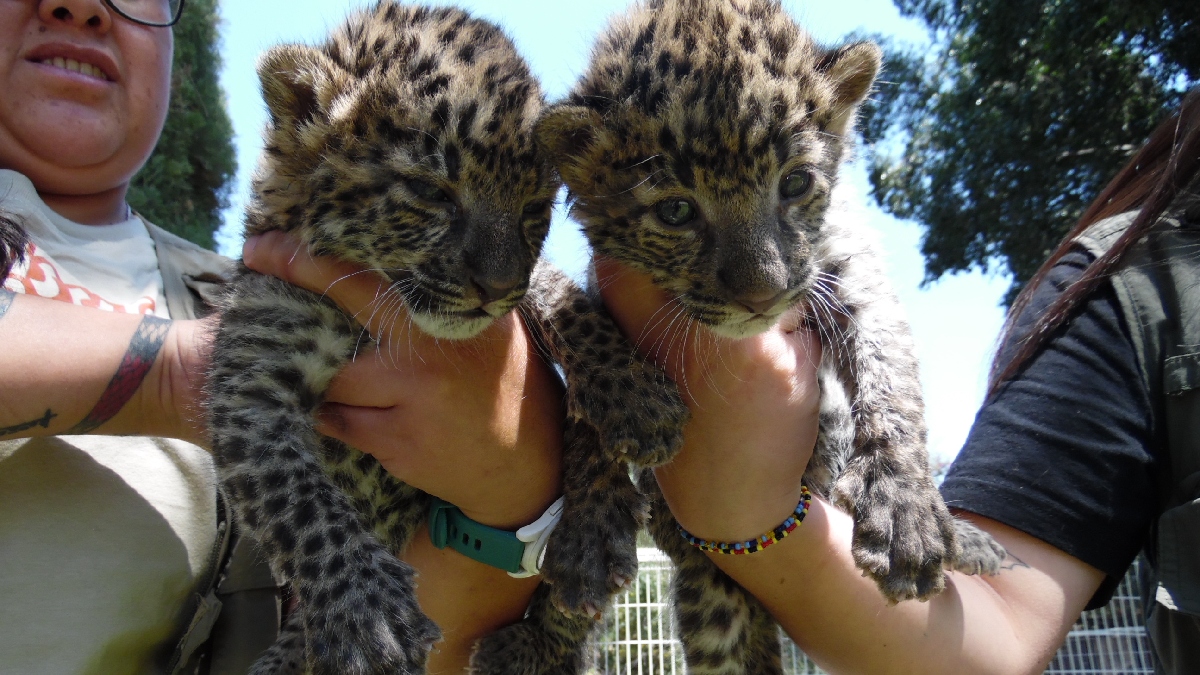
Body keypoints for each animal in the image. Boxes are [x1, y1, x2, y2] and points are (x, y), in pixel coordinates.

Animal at [207, 3, 687, 674]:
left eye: (532, 210)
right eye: (431, 192)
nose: (495, 285)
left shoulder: (531, 299)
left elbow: (565, 308)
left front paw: (632, 412)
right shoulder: (252, 379)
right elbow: (297, 498)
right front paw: (368, 616)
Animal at [535, 0, 1008, 672]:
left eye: (794, 183)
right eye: (675, 211)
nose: (762, 295)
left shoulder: (850, 262)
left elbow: (891, 369)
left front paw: (905, 513)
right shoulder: (606, 293)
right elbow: (583, 392)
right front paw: (588, 531)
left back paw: (966, 540)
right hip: (712, 606)